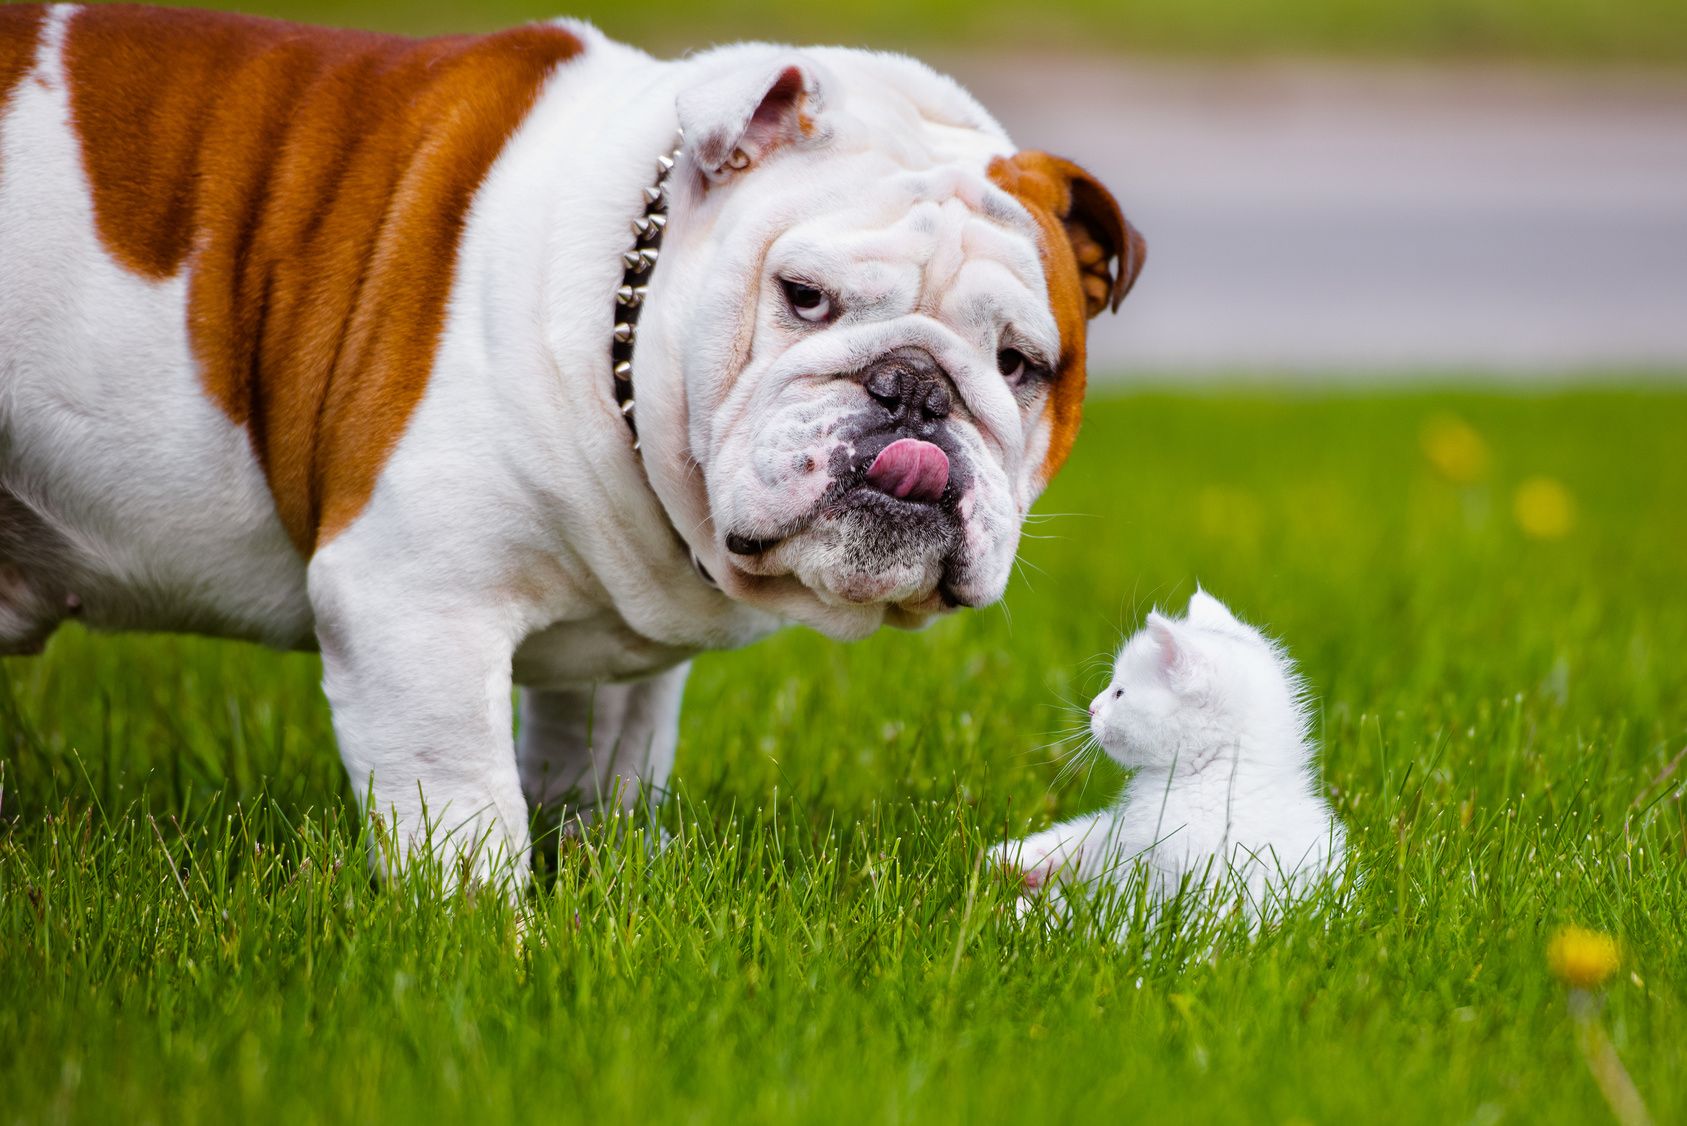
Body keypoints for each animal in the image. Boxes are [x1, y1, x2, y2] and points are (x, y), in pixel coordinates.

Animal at [991, 594, 1349, 931]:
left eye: (1119, 693)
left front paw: (1025, 915)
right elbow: (1089, 839)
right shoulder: (1123, 835)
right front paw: (1017, 859)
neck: (1208, 775)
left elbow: (1109, 921)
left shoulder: (1193, 878)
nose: (1092, 708)